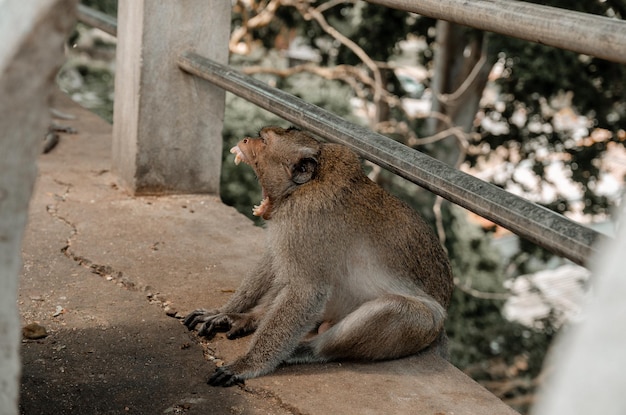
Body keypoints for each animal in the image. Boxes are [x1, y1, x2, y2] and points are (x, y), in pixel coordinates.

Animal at [183, 126, 450, 386]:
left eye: (264, 141)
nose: (247, 140)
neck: (302, 188)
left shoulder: (304, 219)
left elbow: (306, 291)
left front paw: (248, 364)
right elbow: (273, 262)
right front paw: (225, 311)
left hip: (425, 329)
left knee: (399, 309)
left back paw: (306, 350)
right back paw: (248, 318)